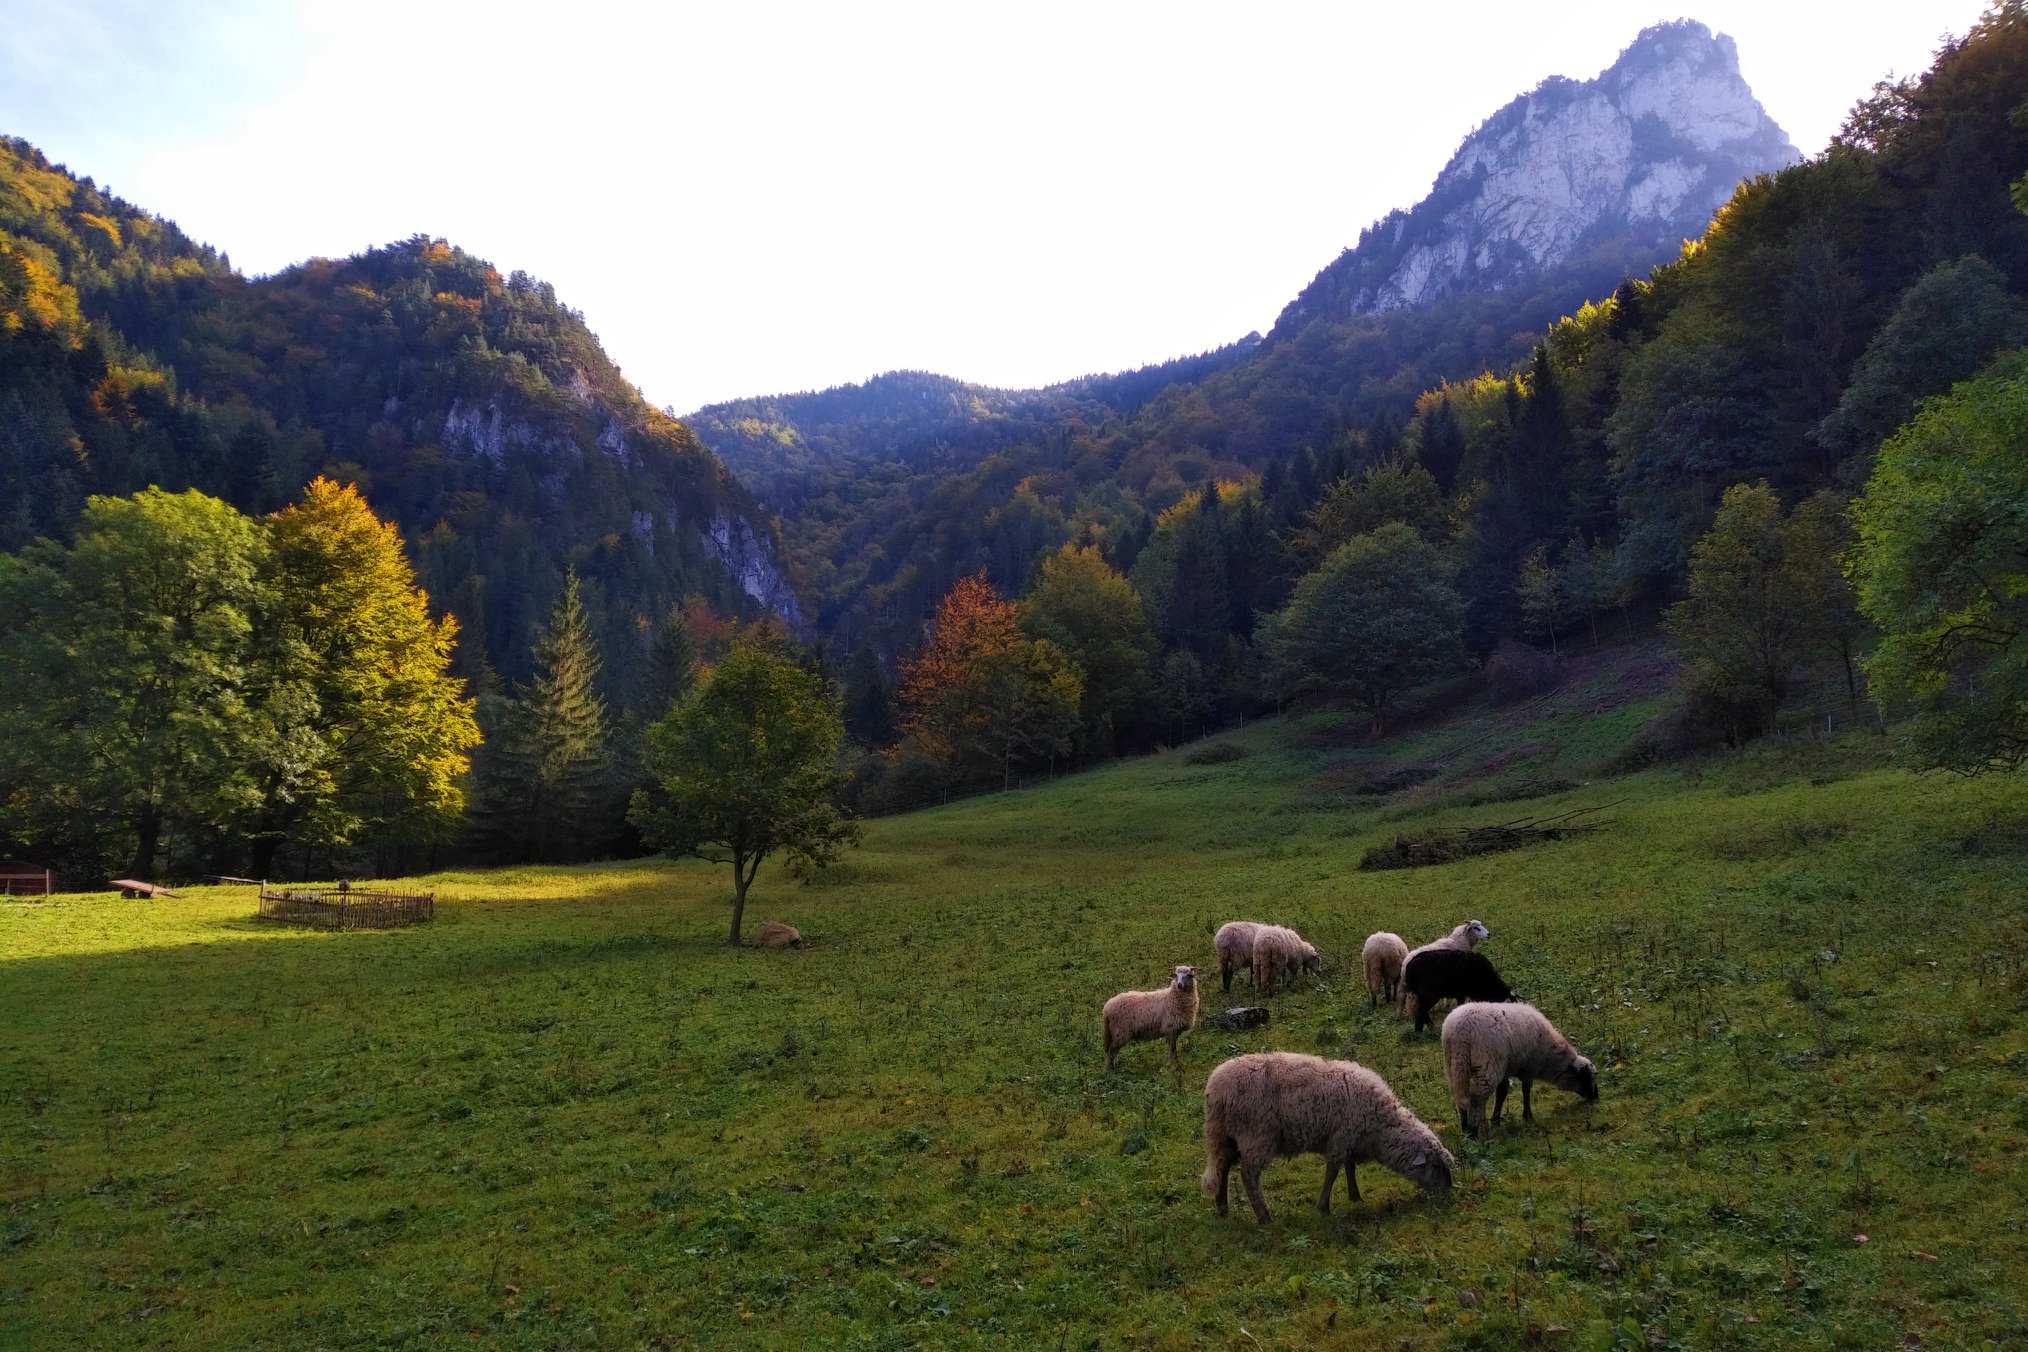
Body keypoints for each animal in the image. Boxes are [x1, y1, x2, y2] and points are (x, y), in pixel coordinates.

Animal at [1192, 1045, 1452, 1224]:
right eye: (1437, 1167)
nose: (1449, 1192)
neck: (1382, 1127)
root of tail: (1215, 1091)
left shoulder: (1349, 1139)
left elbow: (1349, 1167)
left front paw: (1355, 1196)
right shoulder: (1342, 1137)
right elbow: (1333, 1171)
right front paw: (1324, 1206)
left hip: (1225, 1136)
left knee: (1222, 1168)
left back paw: (1222, 1209)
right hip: (1256, 1135)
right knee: (1248, 1175)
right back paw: (1264, 1216)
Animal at [1443, 1001, 1598, 1135]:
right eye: (1585, 1077)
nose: (1595, 1097)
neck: (1551, 1056)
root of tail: (1461, 1029)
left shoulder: (1505, 1069)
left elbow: (1502, 1092)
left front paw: (1496, 1120)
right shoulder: (1529, 1069)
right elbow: (1526, 1091)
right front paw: (1528, 1116)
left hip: (1455, 1065)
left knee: (1460, 1097)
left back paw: (1465, 1128)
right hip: (1487, 1065)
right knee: (1477, 1098)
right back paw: (1474, 1131)